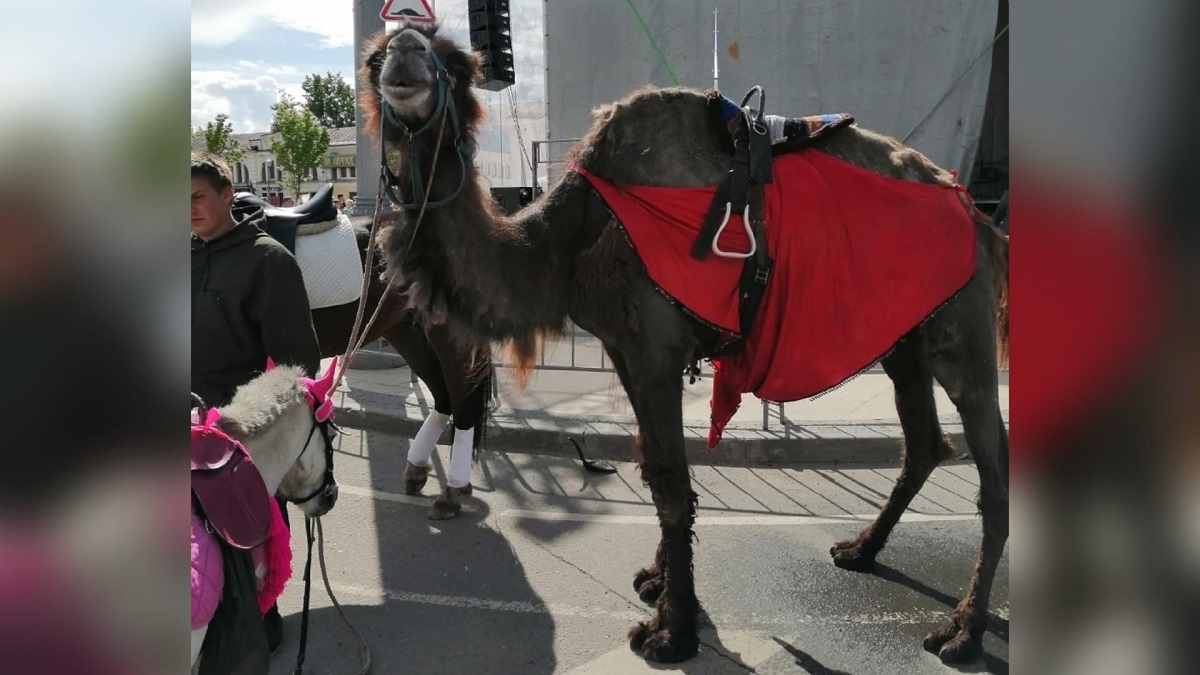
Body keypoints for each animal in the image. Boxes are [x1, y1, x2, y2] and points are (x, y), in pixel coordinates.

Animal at [360, 24, 1008, 662]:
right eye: (374, 58)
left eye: (455, 64)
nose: (405, 53)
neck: (572, 239)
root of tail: (981, 218)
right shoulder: (624, 350)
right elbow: (654, 465)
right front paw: (659, 582)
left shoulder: (654, 348)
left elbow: (672, 481)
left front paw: (672, 632)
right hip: (905, 340)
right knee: (923, 444)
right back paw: (862, 550)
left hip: (962, 332)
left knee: (992, 461)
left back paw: (962, 630)